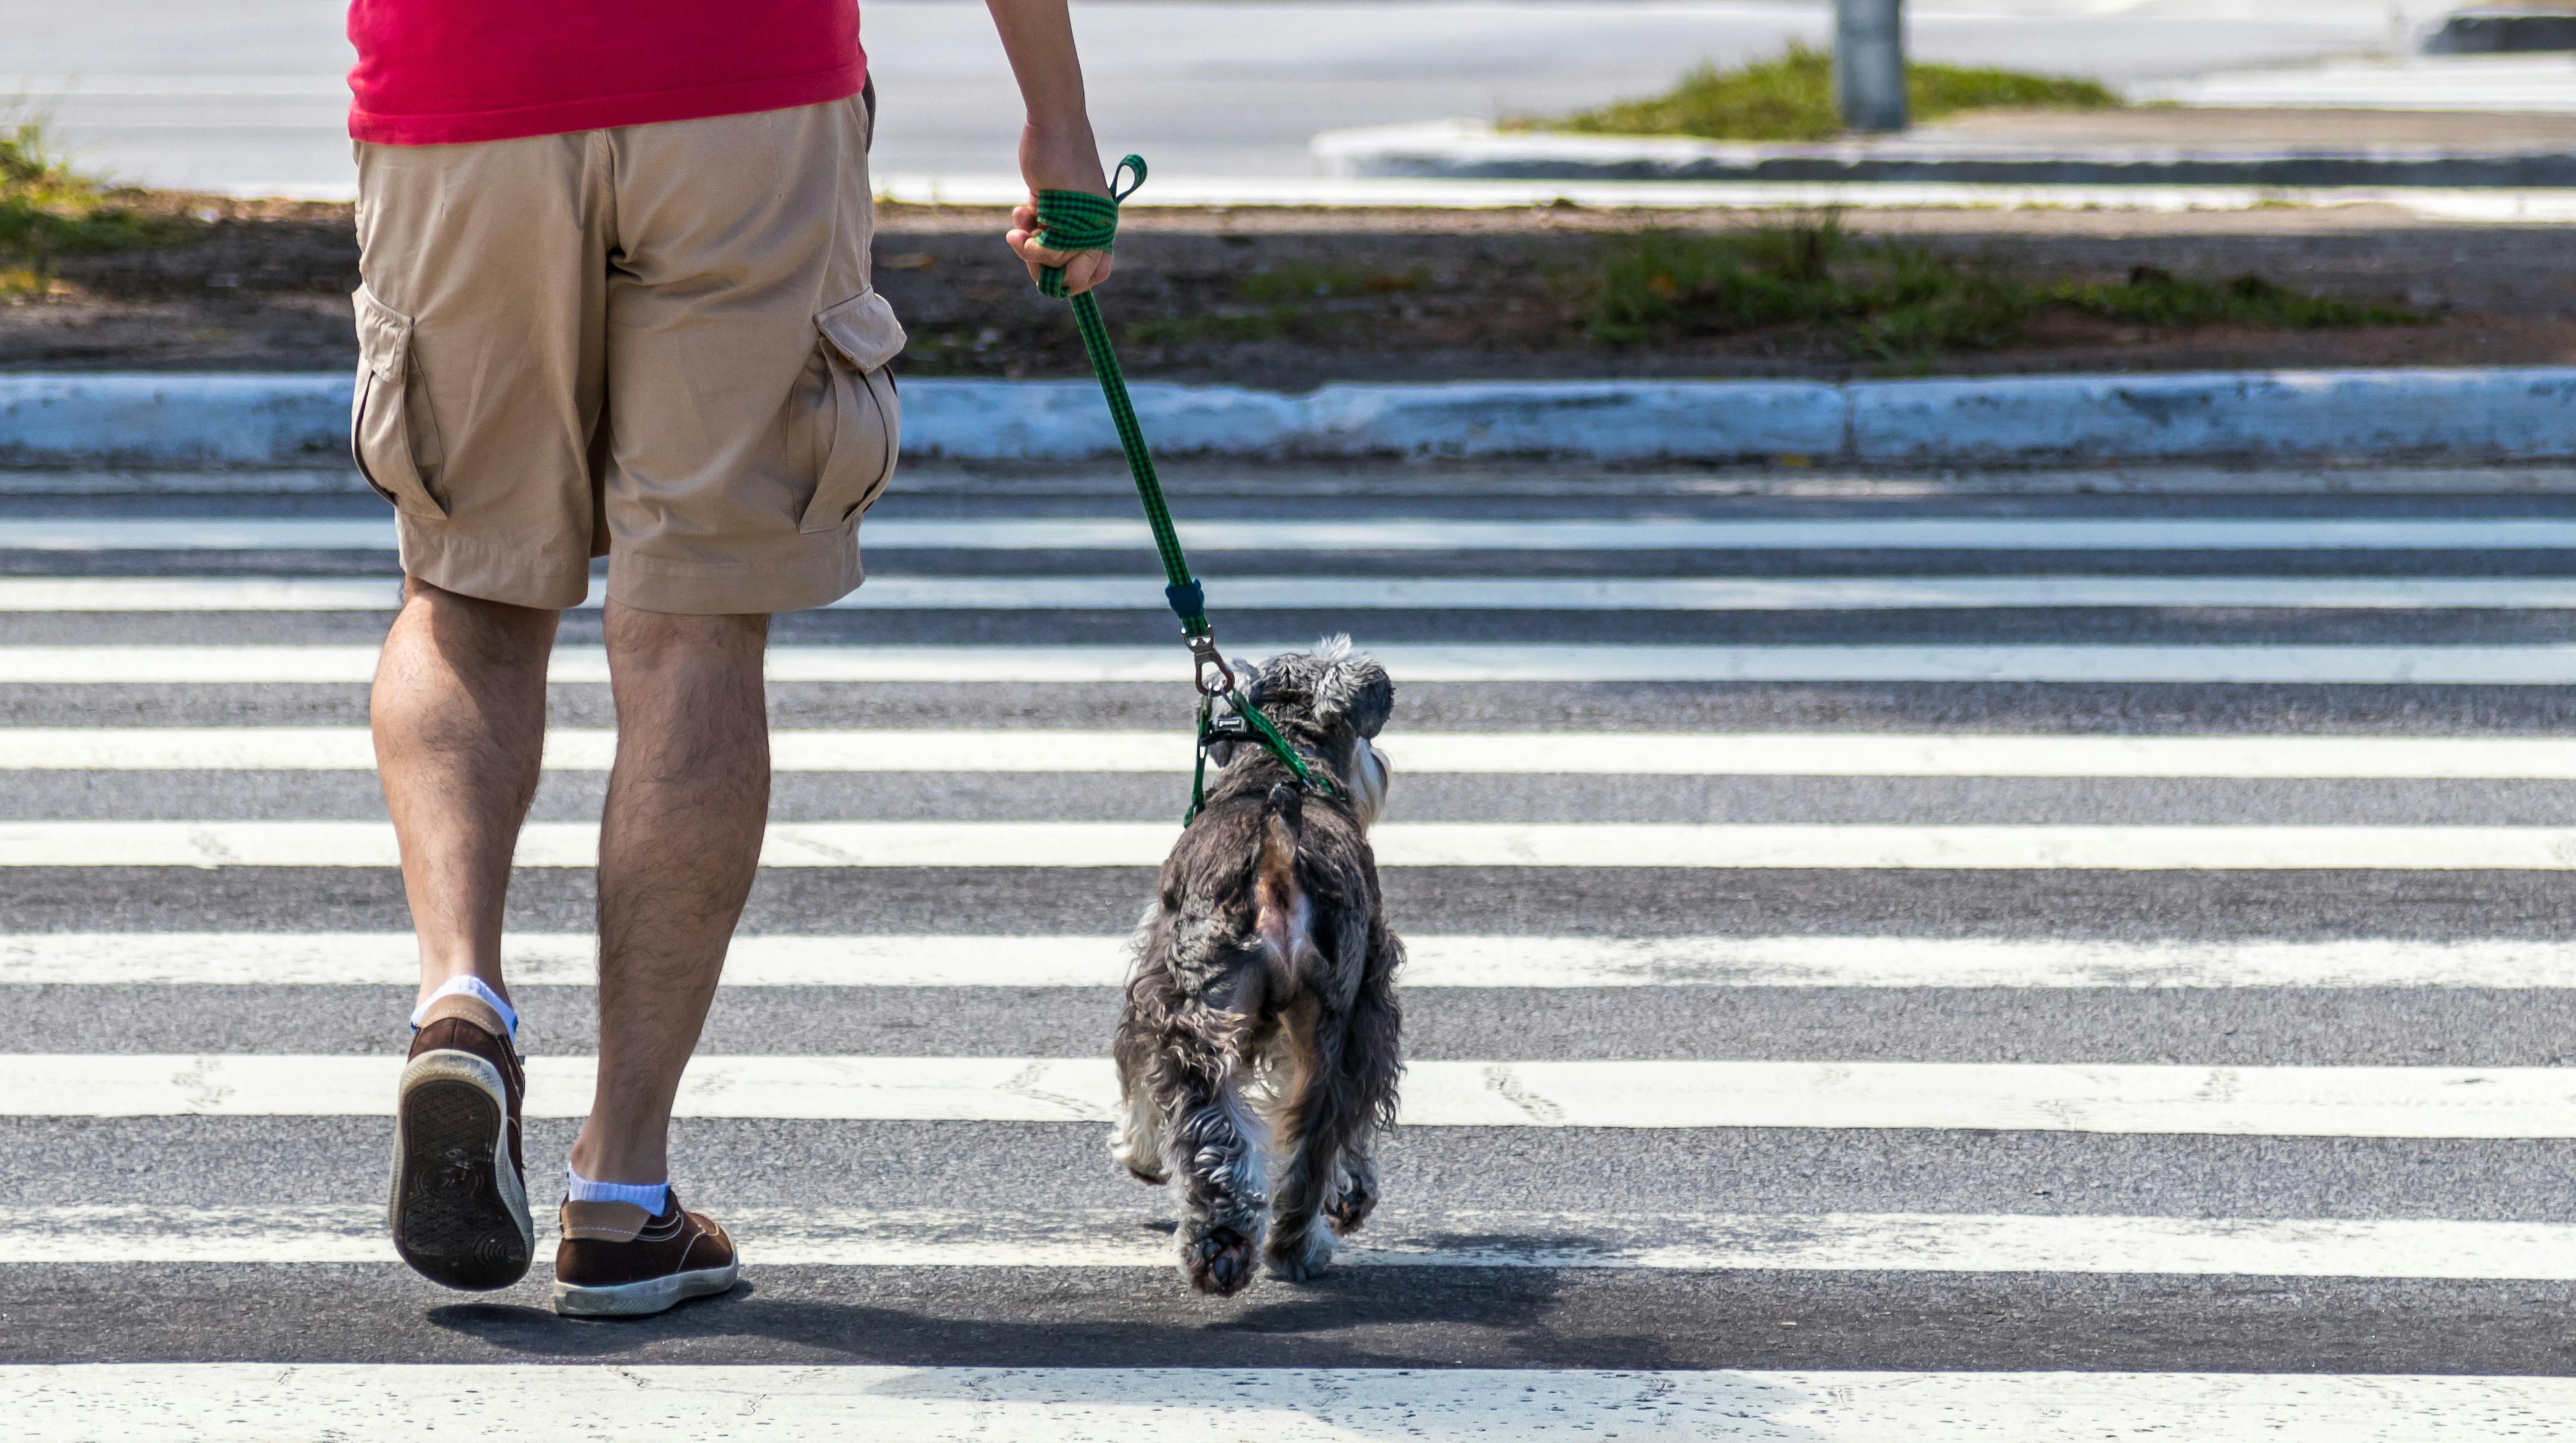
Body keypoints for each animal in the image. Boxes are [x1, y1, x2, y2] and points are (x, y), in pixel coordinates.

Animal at [1102, 636, 1401, 1288]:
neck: (1281, 763)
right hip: (1331, 1026)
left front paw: (1140, 1154)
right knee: (1316, 1135)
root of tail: (1279, 845)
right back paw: (1279, 1247)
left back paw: (1234, 1245)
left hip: (1209, 1010)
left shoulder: (1150, 978)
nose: (1381, 765)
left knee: (1218, 1128)